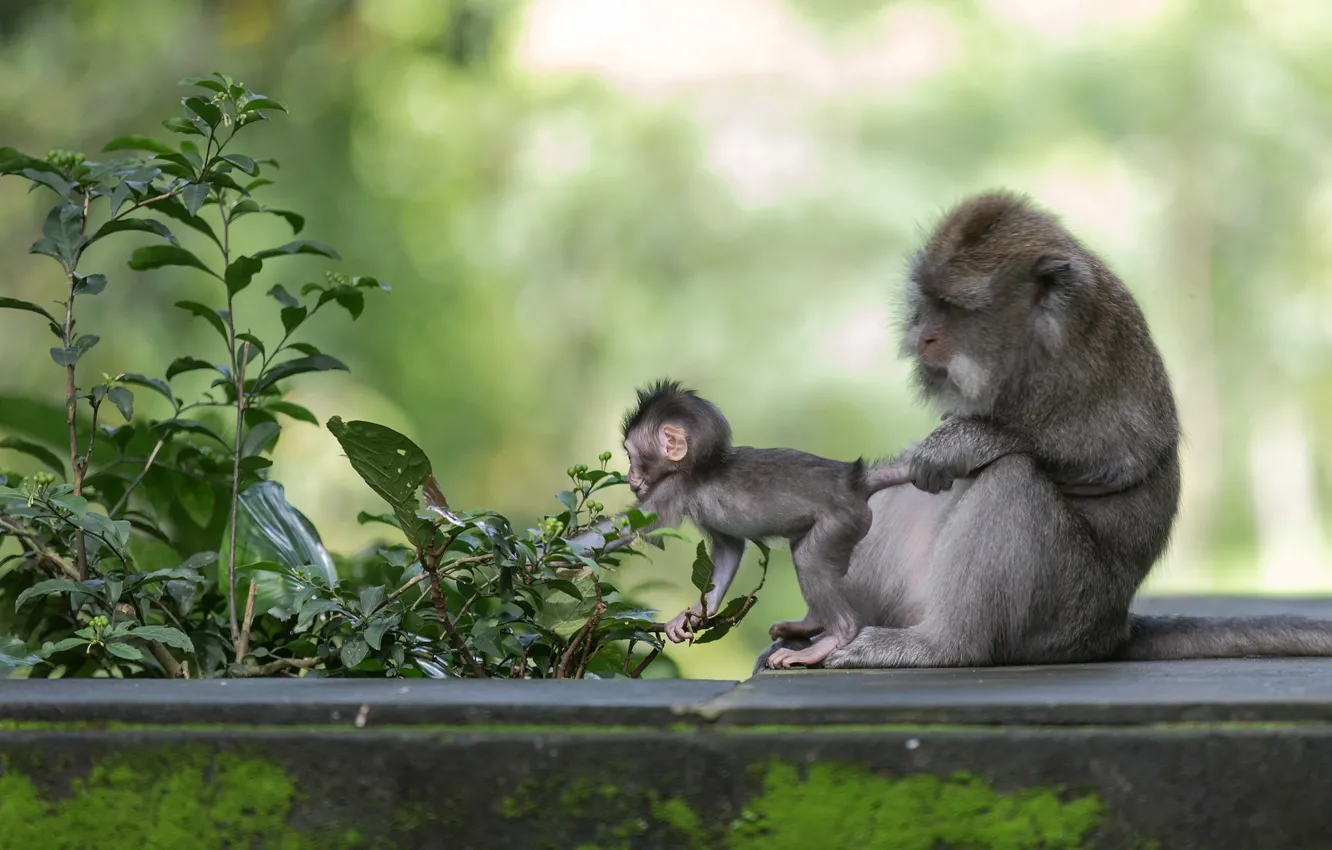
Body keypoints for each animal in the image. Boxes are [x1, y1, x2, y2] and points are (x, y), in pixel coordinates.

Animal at [603, 379, 910, 669]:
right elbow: (730, 548)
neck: (703, 465)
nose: (630, 478)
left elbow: (626, 528)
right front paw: (698, 611)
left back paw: (834, 637)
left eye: (630, 456)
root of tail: (854, 481)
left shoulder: (672, 488)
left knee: (809, 558)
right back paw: (810, 623)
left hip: (841, 520)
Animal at [755, 189, 1332, 673]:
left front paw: (965, 442)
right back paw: (824, 625)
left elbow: (1117, 460)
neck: (1033, 340)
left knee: (1013, 479)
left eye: (956, 308)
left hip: (1065, 614)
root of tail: (1113, 629)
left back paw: (940, 645)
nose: (923, 338)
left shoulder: (1082, 363)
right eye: (929, 301)